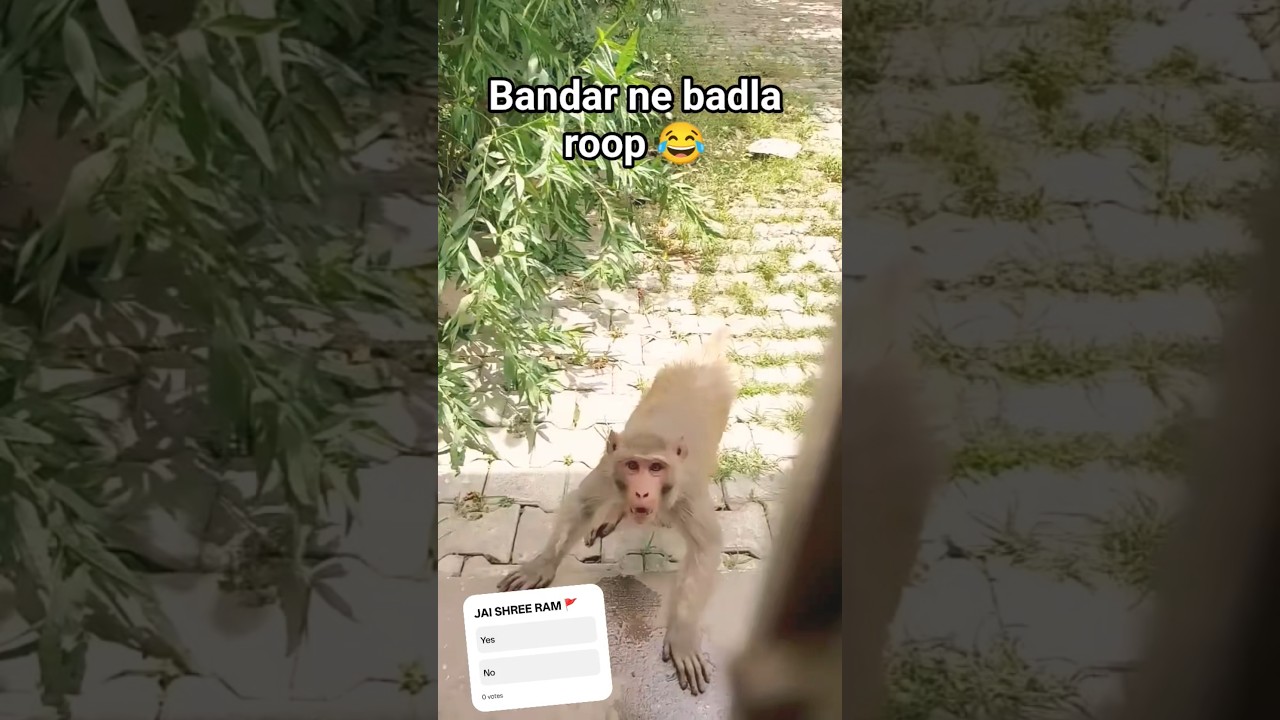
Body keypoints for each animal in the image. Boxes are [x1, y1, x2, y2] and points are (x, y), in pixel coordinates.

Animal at [499, 327, 737, 696]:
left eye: (656, 468)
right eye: (633, 466)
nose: (641, 491)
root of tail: (704, 361)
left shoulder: (685, 492)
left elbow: (706, 545)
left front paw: (682, 634)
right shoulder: (608, 470)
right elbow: (581, 505)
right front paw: (543, 564)